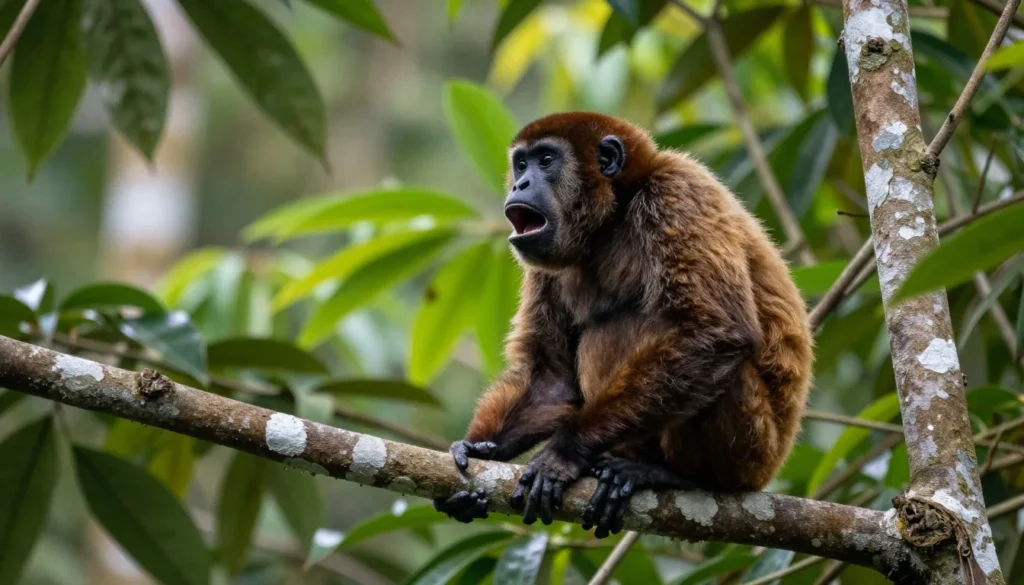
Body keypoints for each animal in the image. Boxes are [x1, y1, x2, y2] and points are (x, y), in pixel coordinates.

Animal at [433, 112, 814, 538]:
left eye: (545, 161)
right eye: (520, 164)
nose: (520, 183)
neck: (615, 215)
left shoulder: (676, 193)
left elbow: (716, 330)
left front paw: (564, 452)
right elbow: (553, 379)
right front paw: (483, 450)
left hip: (753, 452)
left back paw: (679, 477)